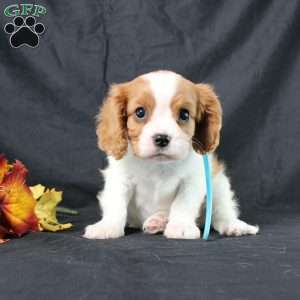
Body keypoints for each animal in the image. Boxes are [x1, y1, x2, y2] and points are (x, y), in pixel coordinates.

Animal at [83, 70, 258, 239]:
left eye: (184, 114)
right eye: (140, 112)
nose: (161, 138)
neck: (158, 164)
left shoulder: (193, 180)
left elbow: (183, 204)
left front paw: (181, 227)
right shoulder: (119, 178)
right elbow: (116, 203)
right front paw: (107, 227)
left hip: (218, 184)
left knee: (222, 211)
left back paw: (234, 225)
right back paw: (159, 221)